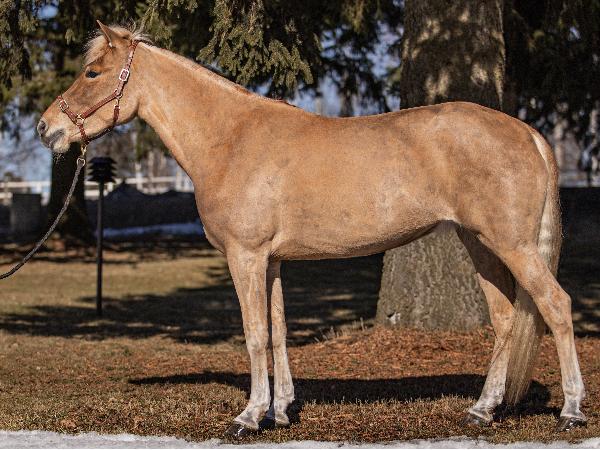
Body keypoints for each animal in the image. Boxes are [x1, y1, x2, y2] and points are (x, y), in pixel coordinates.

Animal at [38, 22, 587, 438]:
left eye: (92, 72)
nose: (46, 129)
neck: (230, 139)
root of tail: (528, 133)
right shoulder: (273, 261)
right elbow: (279, 332)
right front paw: (280, 411)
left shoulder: (246, 256)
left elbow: (255, 333)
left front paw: (248, 416)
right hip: (482, 245)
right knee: (506, 319)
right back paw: (481, 410)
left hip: (512, 245)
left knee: (556, 306)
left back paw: (571, 411)